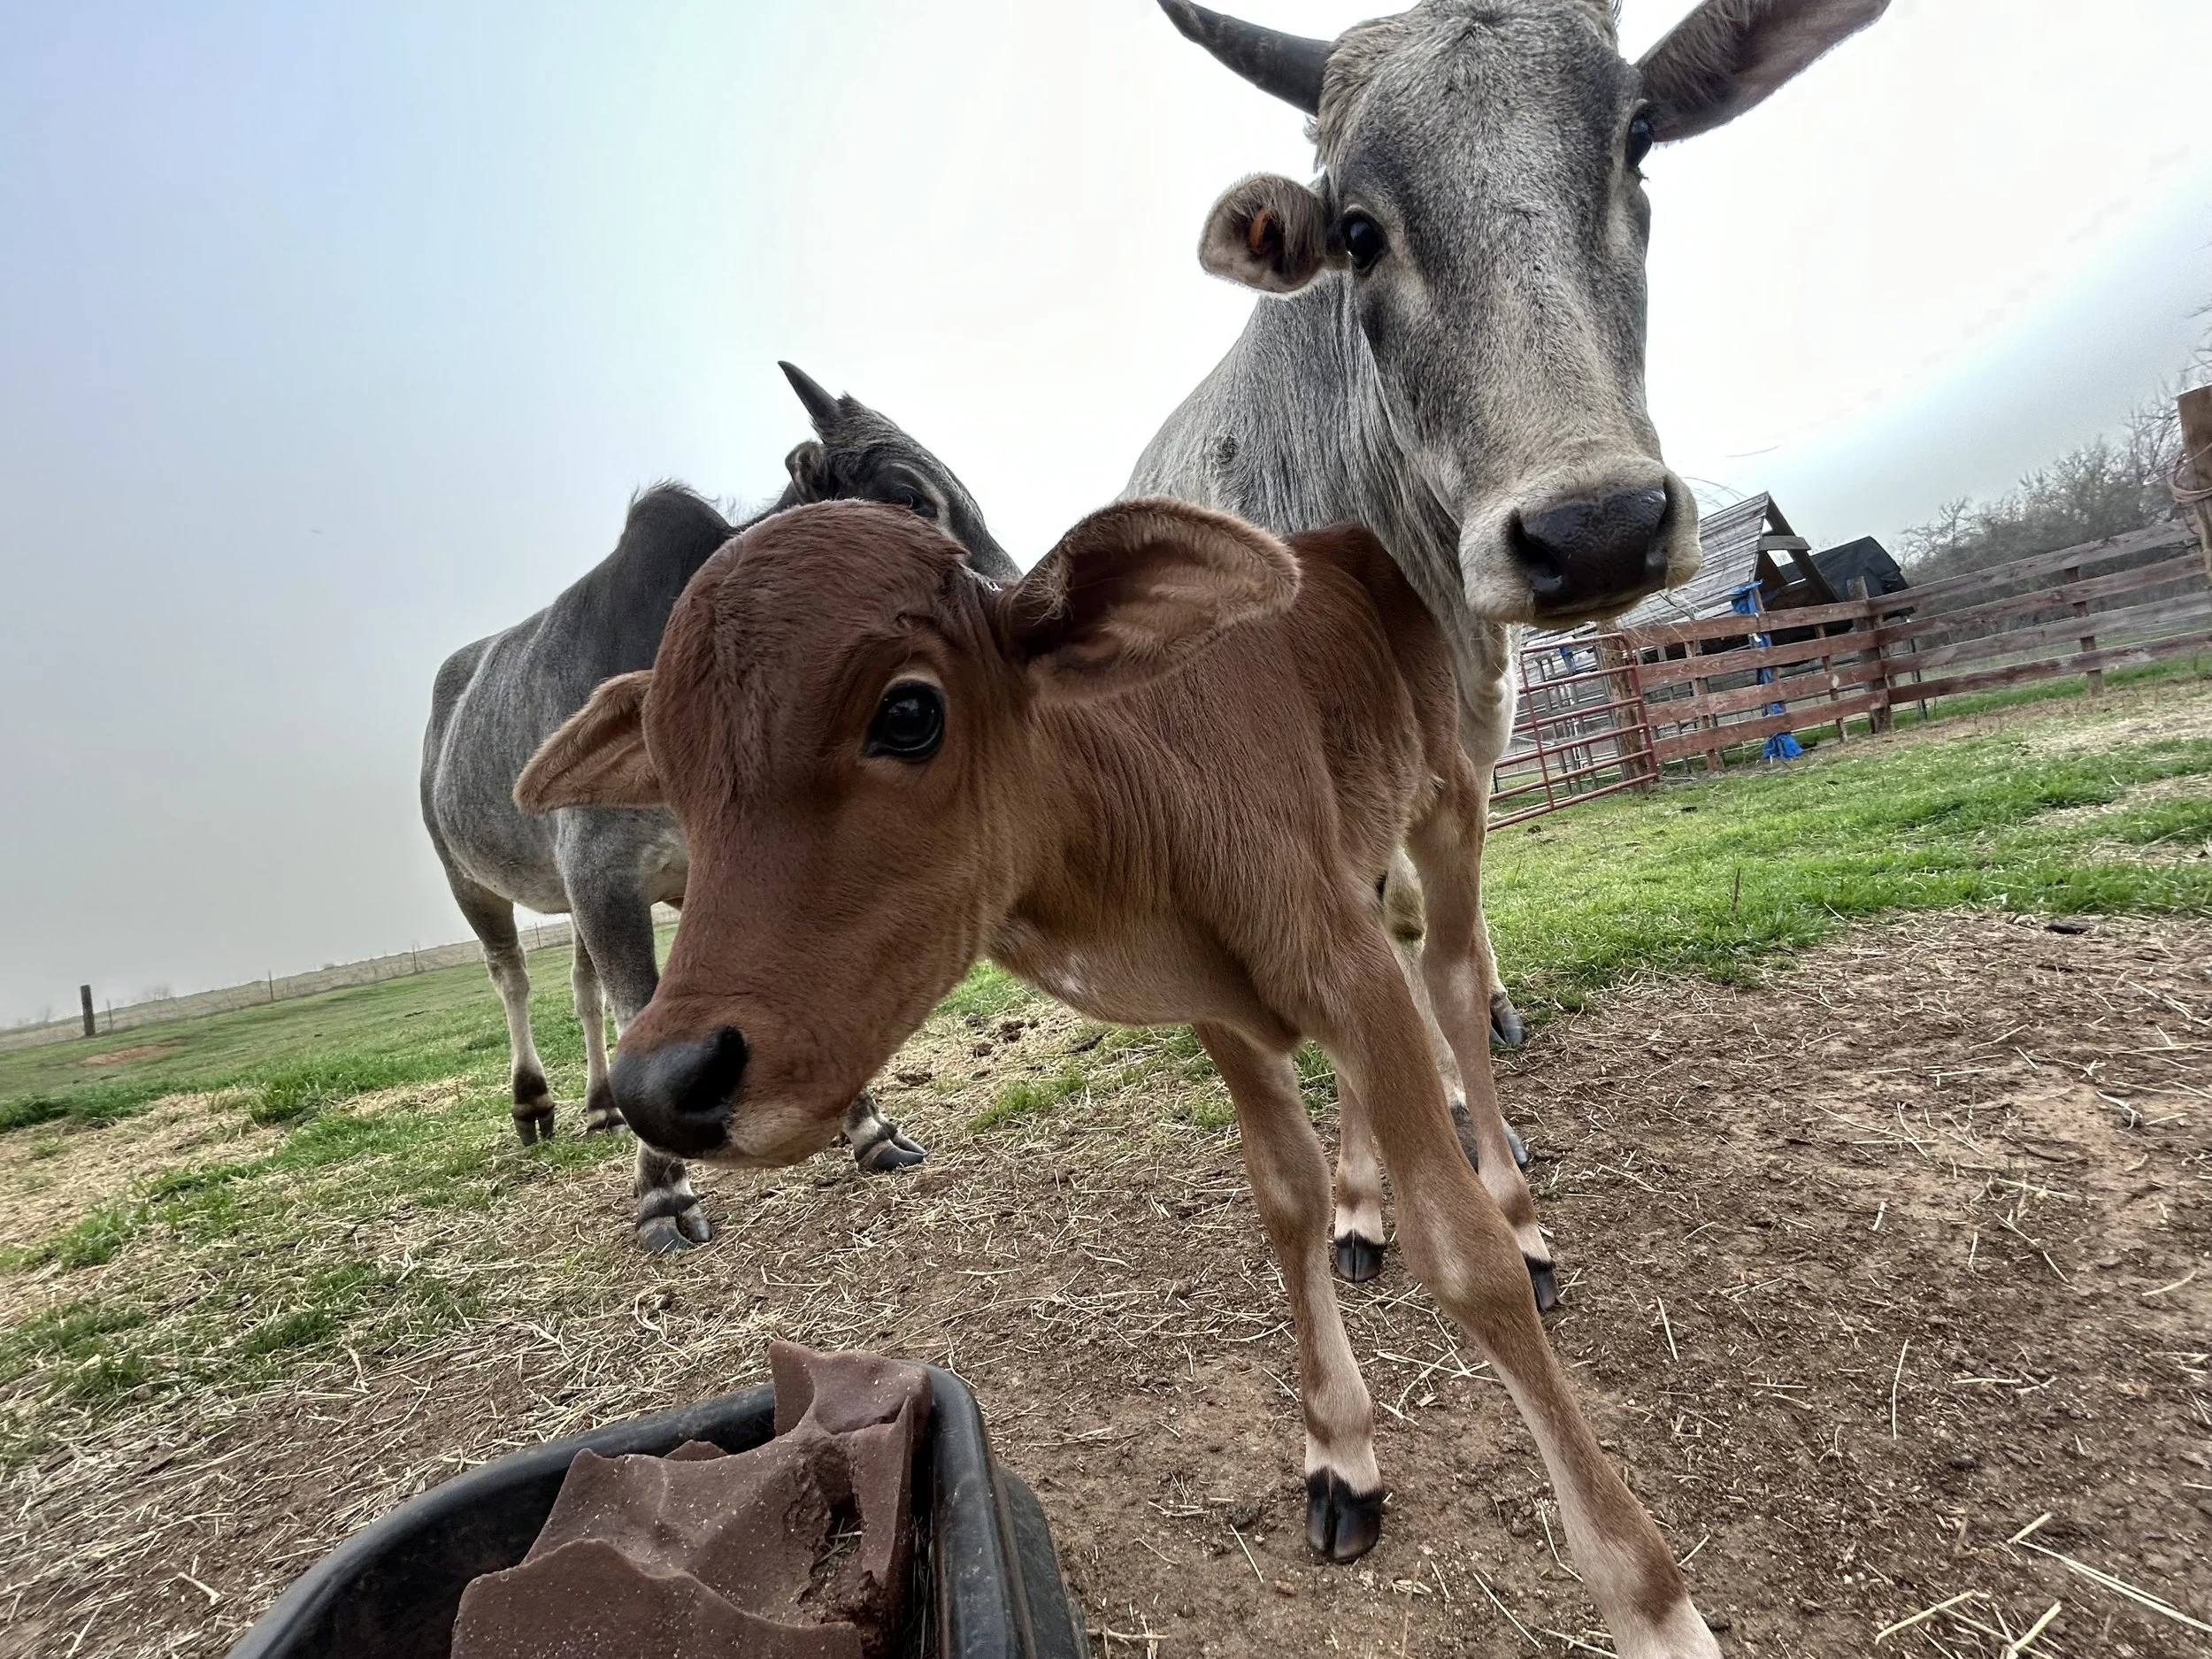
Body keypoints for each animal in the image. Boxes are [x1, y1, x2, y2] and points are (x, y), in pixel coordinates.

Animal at [419, 365, 1016, 1251]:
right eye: (910, 497)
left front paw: (870, 1129)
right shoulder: (605, 877)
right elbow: (637, 1004)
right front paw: (663, 1191)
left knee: (580, 987)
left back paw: (602, 1105)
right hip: (471, 880)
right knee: (514, 978)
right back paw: (536, 1103)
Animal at [516, 496, 1724, 1657]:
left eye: (907, 713)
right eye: (672, 777)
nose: (664, 1080)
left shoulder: (1343, 963)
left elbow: (1466, 1258)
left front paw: (1656, 1608)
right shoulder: (1226, 1008)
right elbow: (1281, 1201)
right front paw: (1339, 1446)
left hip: (1451, 803)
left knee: (1457, 982)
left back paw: (1521, 1214)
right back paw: (1361, 1209)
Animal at [1133, 0, 1888, 1281]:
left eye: (1637, 141)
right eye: (1355, 228)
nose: (1596, 529)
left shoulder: (1466, 771)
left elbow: (1441, 957)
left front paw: (1505, 1196)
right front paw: (1362, 1196)